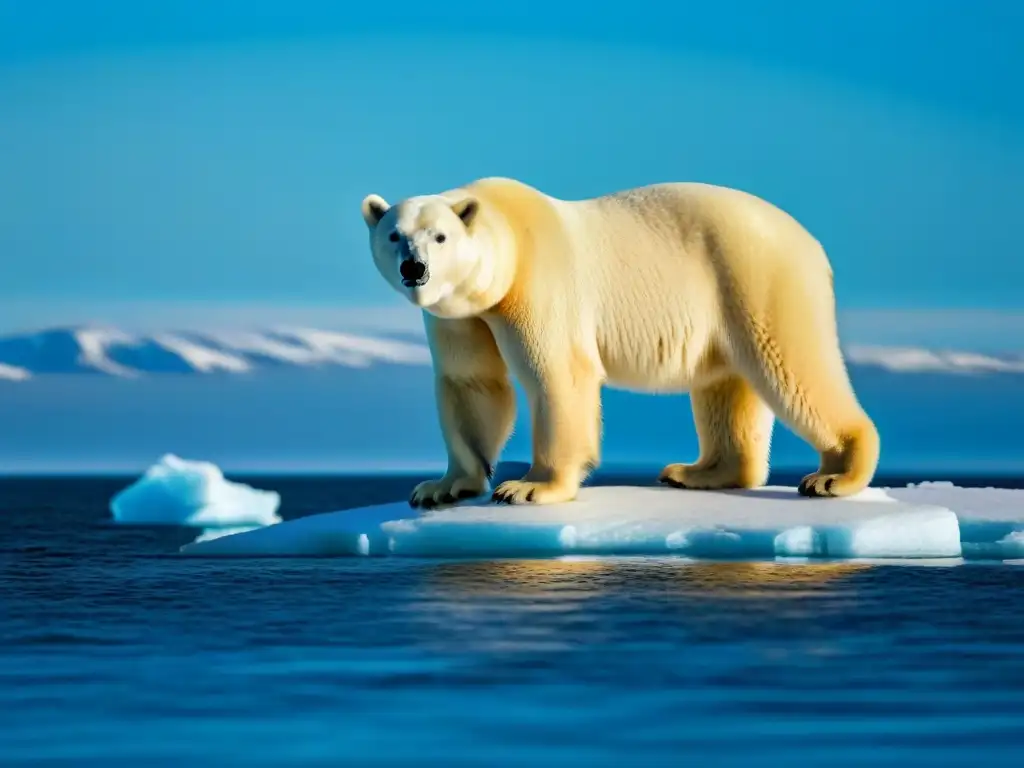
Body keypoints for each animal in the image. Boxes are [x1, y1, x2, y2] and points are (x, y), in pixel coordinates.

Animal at [360, 177, 880, 507]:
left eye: (440, 237)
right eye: (394, 235)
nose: (415, 269)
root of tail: (812, 243)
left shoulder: (539, 282)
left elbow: (557, 375)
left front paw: (528, 487)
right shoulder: (460, 315)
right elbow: (471, 382)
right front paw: (442, 486)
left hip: (758, 276)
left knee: (793, 368)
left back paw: (834, 475)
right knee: (725, 384)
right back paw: (696, 472)